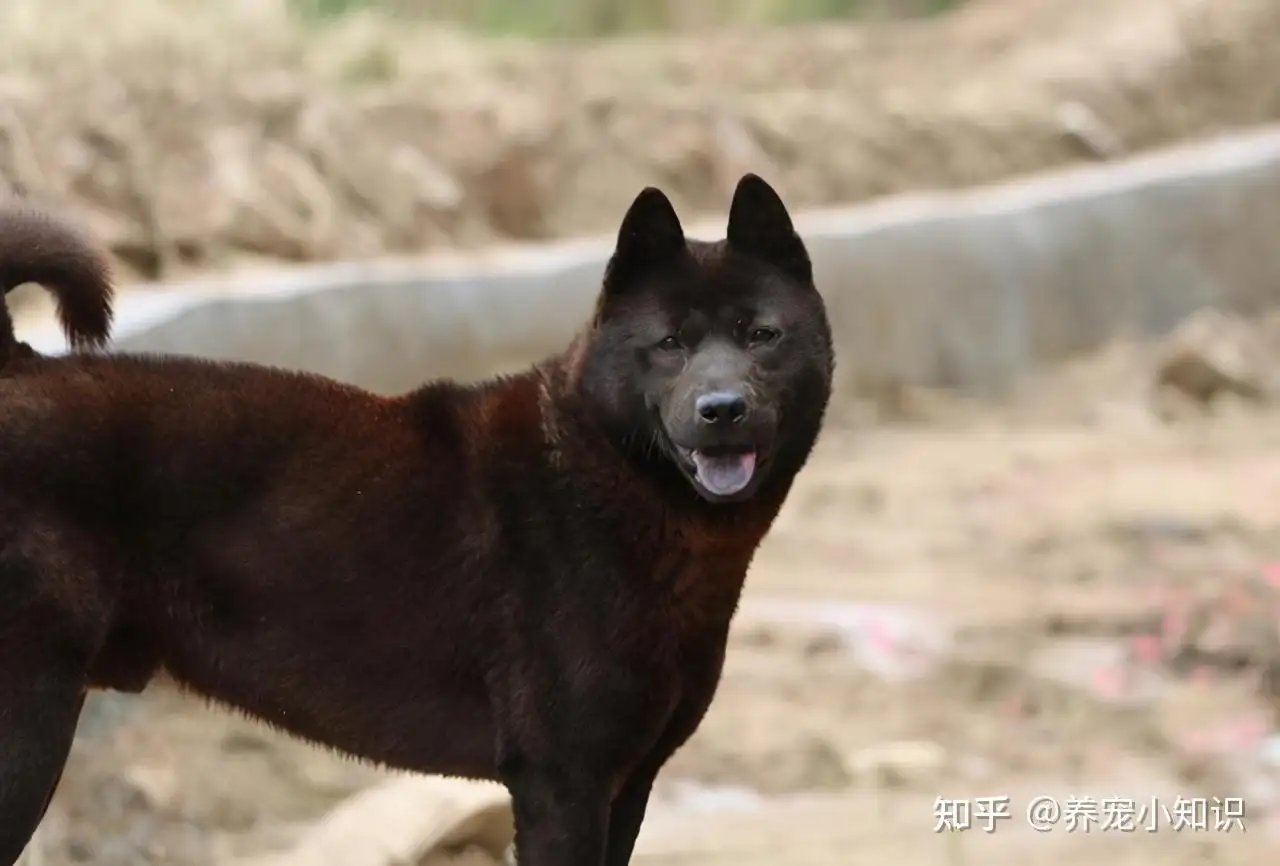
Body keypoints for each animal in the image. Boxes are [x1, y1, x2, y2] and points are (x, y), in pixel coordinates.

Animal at [0, 172, 829, 859]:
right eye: (669, 343)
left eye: (762, 335)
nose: (721, 409)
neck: (613, 479)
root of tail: (19, 364)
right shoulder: (564, 782)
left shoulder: (628, 785)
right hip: (28, 726)